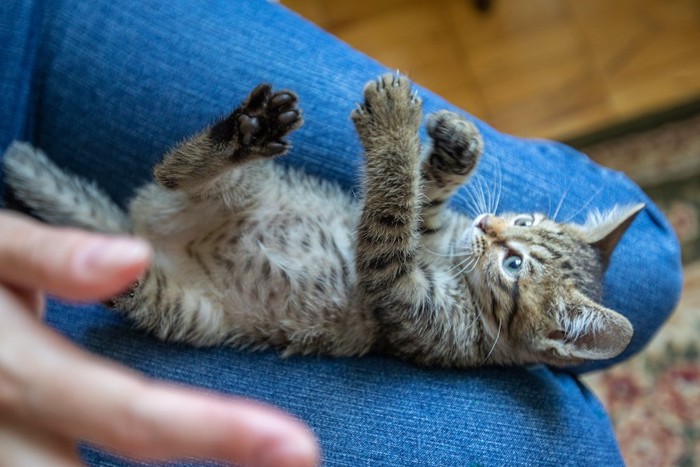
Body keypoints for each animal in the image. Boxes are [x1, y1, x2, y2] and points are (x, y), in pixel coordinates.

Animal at [4, 74, 640, 370]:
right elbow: (419, 198)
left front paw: (395, 125)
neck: (453, 267)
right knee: (178, 170)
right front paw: (456, 142)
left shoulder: (405, 299)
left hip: (190, 313)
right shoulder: (430, 234)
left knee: (160, 201)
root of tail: (147, 235)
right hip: (239, 187)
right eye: (523, 218)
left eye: (513, 266)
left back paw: (105, 265)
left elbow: (389, 210)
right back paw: (245, 132)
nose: (486, 228)